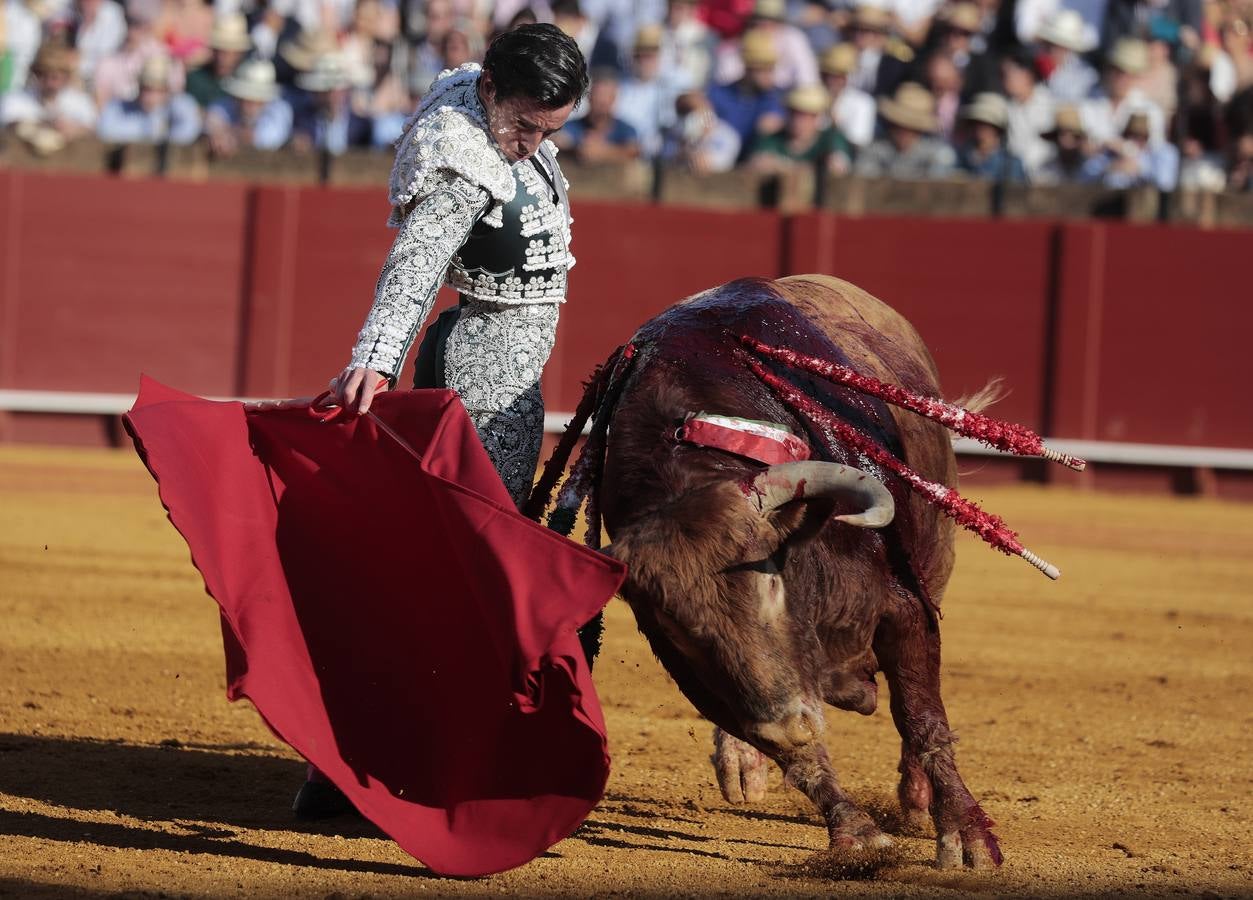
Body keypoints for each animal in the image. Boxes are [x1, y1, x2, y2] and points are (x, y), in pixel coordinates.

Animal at [553, 273, 1012, 867]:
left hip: (937, 556)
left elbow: (921, 715)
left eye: (772, 583)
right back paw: (742, 763)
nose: (790, 720)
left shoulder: (904, 605)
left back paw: (915, 800)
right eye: (681, 629)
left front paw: (966, 837)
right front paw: (855, 833)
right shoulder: (696, 673)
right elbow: (785, 746)